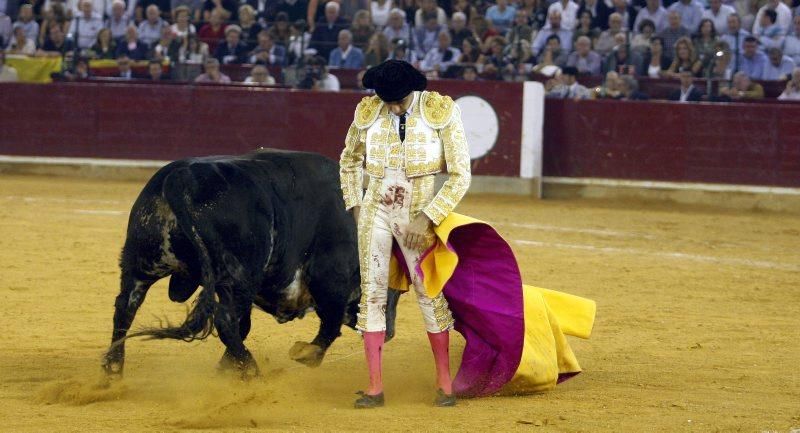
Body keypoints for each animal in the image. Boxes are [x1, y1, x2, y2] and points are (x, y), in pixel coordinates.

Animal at [101, 150, 398, 376]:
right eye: (390, 292)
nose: (388, 333)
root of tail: (180, 177)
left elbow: (245, 327)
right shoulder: (331, 277)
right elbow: (330, 325)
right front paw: (305, 354)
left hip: (142, 263)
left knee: (125, 307)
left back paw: (112, 369)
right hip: (241, 275)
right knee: (225, 319)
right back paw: (252, 370)